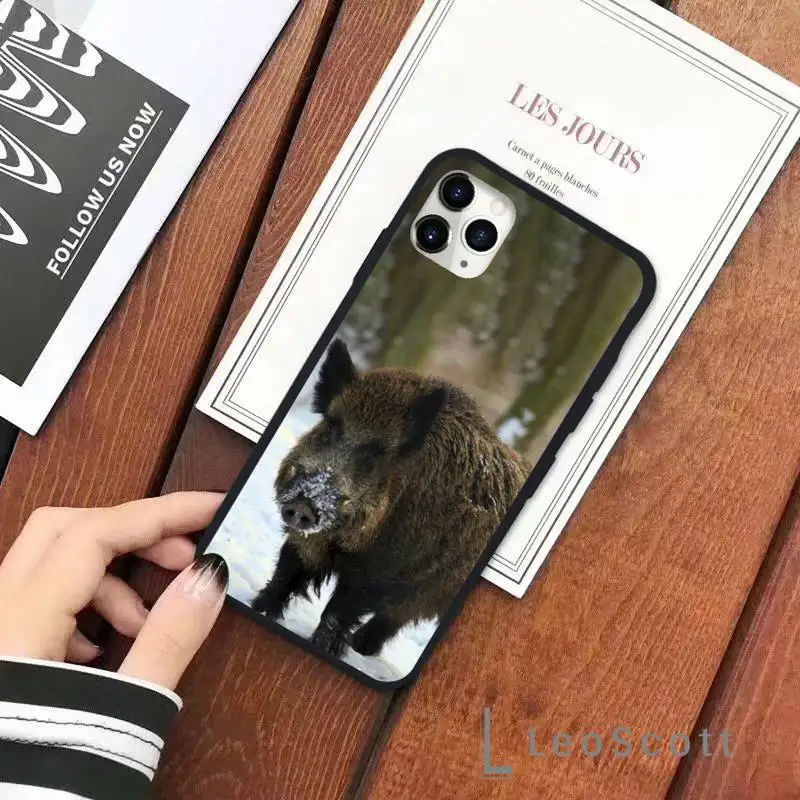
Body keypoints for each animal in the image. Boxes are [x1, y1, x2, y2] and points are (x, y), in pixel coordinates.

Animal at [252, 339, 530, 660]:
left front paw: (324, 649)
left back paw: (361, 647)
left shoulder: (381, 573)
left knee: (393, 619)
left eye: (376, 452)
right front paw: (258, 607)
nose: (303, 505)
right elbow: (286, 573)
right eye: (331, 425)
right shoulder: (307, 540)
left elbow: (337, 611)